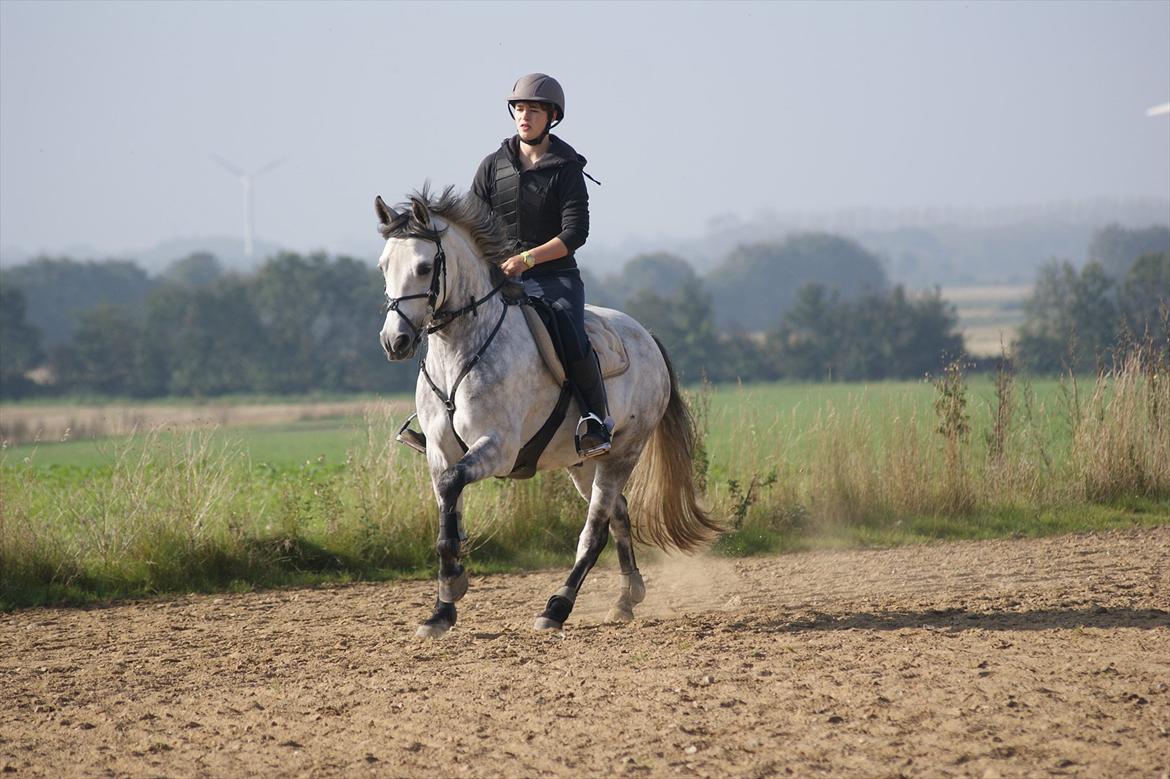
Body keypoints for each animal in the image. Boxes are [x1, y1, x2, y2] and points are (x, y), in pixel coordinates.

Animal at [376, 184, 720, 636]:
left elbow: (452, 492)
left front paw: (454, 583)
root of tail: (646, 336)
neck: (459, 350)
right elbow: (448, 513)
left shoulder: (498, 447)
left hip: (623, 452)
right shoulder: (439, 451)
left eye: (422, 266)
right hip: (583, 462)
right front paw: (442, 608)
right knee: (618, 513)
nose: (394, 341)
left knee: (595, 530)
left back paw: (557, 607)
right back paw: (626, 599)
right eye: (384, 266)